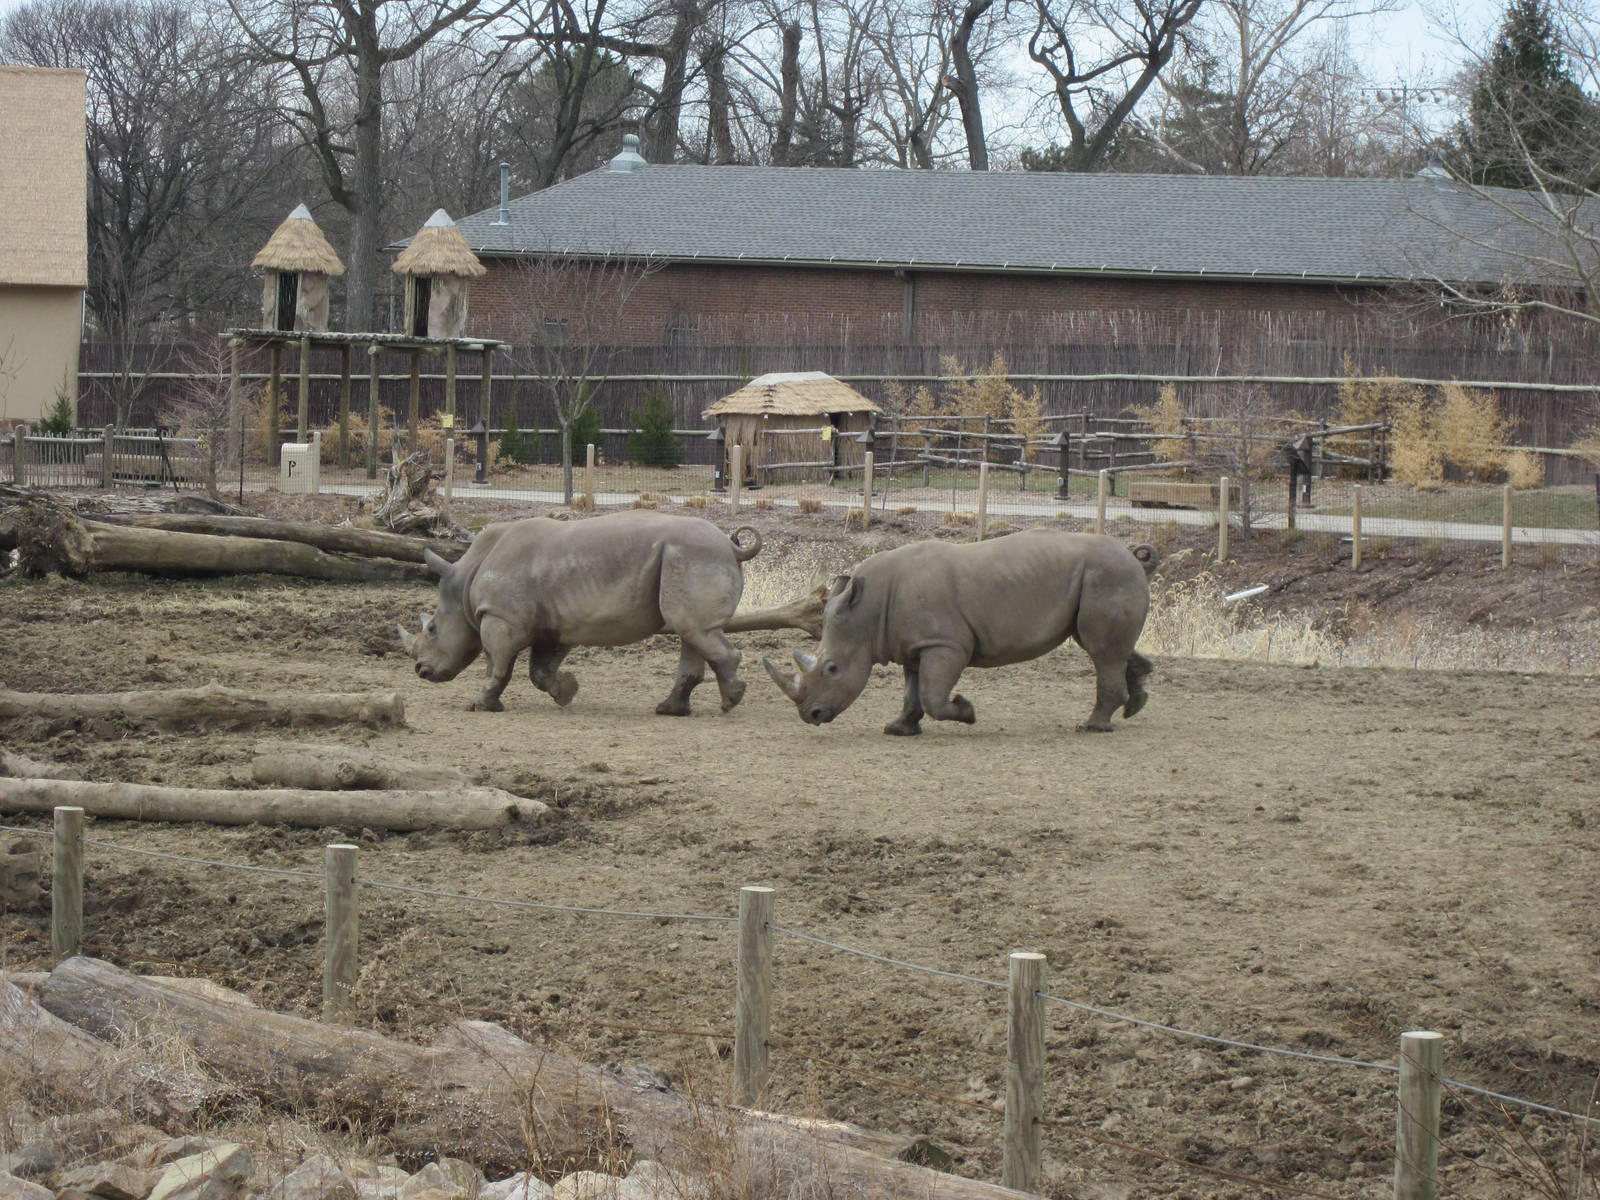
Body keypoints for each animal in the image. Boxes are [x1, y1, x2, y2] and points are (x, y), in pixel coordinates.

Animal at [400, 511, 763, 715]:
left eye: (432, 629)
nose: (420, 671)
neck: (463, 582)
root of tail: (731, 546)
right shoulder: (555, 625)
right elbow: (540, 670)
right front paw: (567, 692)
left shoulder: (501, 618)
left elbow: (497, 664)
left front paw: (480, 706)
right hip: (690, 558)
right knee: (692, 631)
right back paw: (670, 710)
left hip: (693, 556)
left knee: (692, 629)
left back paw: (729, 702)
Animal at [763, 531, 1156, 735]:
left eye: (832, 669)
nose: (811, 716)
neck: (868, 612)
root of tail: (1134, 557)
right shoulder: (913, 644)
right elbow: (912, 690)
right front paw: (899, 728)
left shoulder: (946, 643)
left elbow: (932, 696)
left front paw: (967, 712)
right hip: (1105, 577)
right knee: (1103, 647)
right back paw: (1135, 703)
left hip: (1108, 575)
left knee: (1100, 650)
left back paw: (1092, 726)